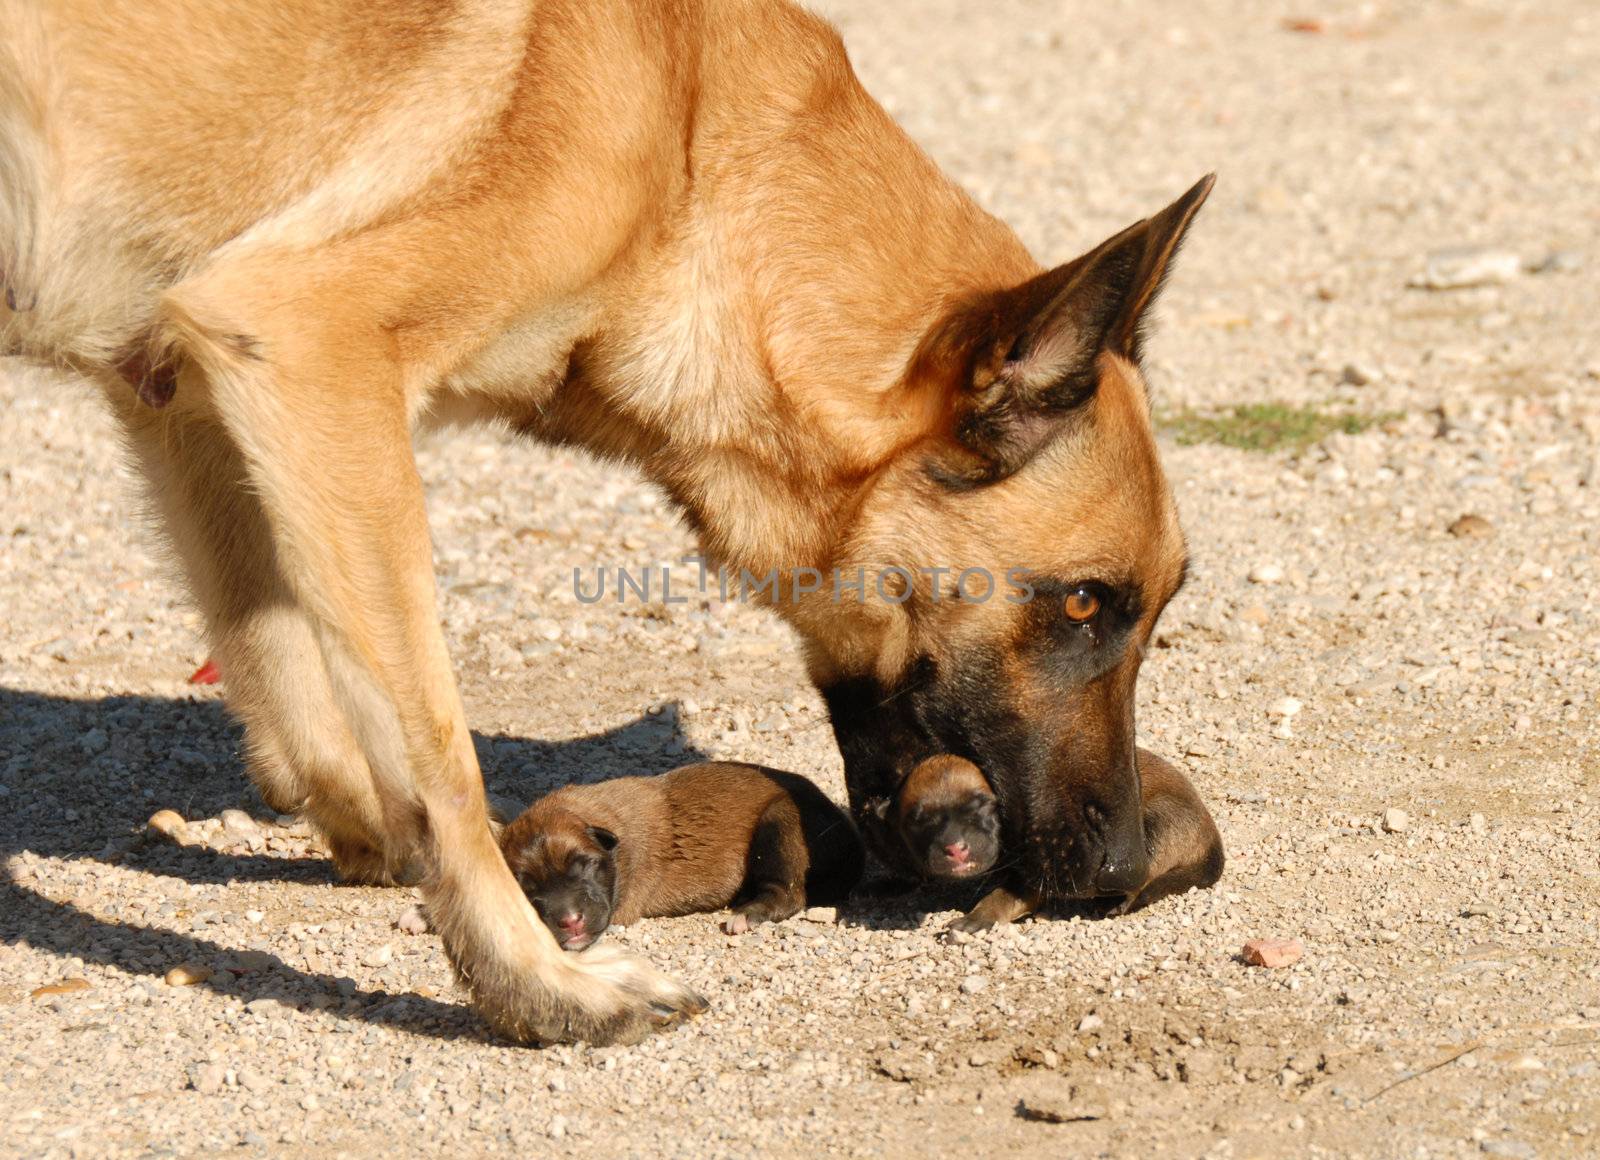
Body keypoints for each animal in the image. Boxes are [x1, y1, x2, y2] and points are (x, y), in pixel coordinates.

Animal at [496, 761, 864, 947]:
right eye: (527, 886)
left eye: (585, 865)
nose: (570, 921)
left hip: (780, 821)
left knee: (787, 893)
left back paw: (745, 914)